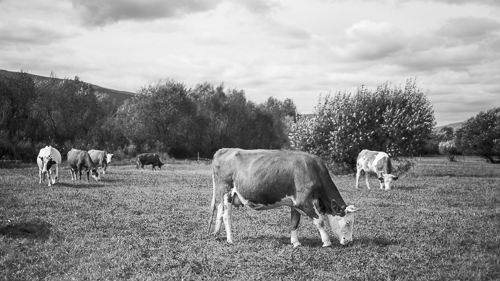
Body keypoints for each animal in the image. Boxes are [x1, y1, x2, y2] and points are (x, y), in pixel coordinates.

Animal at [208, 148, 360, 246]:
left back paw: (216, 234)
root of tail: (225, 150)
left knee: (219, 213)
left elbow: (294, 222)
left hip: (221, 195)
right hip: (227, 192)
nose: (349, 241)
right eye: (348, 222)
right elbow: (319, 221)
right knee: (226, 216)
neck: (313, 170)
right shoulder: (304, 202)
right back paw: (230, 239)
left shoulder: (295, 203)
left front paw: (296, 242)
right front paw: (326, 242)